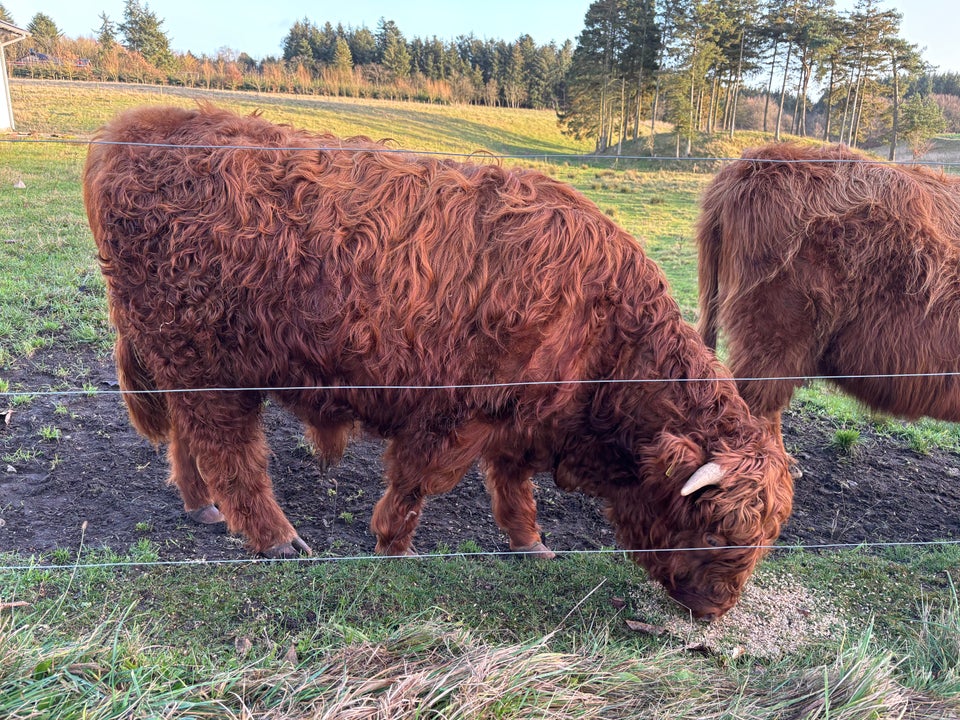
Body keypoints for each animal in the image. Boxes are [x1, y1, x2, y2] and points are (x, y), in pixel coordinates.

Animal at [82, 102, 792, 620]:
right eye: (718, 531)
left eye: (762, 540)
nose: (717, 610)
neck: (606, 340)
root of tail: (135, 128)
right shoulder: (453, 413)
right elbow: (415, 485)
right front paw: (393, 549)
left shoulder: (518, 416)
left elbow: (512, 486)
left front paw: (532, 545)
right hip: (204, 361)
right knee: (230, 454)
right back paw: (276, 538)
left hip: (186, 364)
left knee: (188, 438)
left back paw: (200, 507)